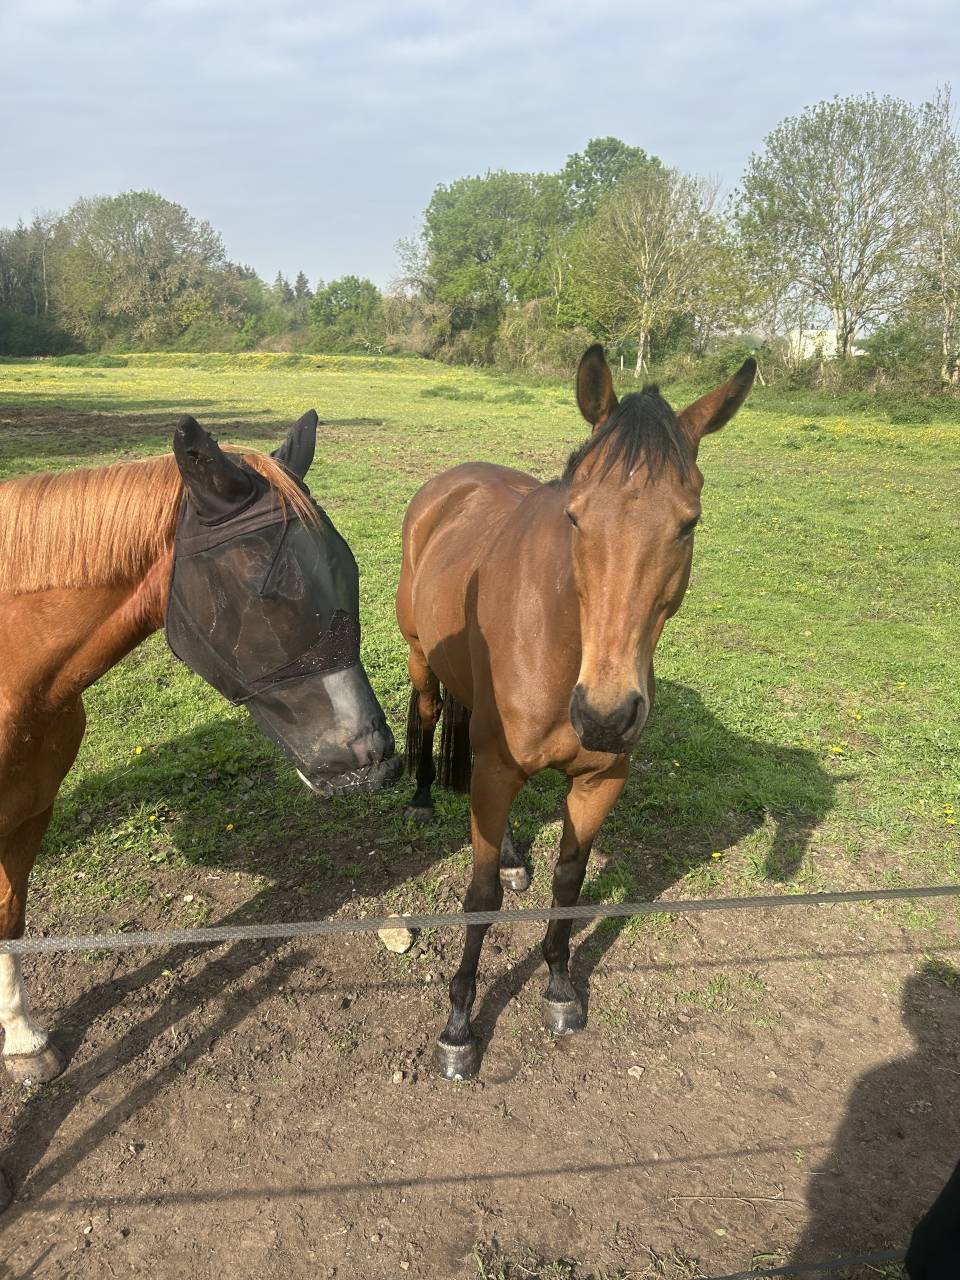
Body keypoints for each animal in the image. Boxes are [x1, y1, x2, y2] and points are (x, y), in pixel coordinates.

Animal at [397, 344, 756, 1078]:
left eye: (689, 522)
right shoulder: (498, 770)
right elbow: (479, 900)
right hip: (421, 657)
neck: (563, 649)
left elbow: (569, 882)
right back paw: (420, 798)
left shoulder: (599, 781)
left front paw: (560, 986)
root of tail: (451, 484)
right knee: (427, 712)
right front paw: (458, 1026)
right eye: (575, 517)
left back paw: (511, 854)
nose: (607, 715)